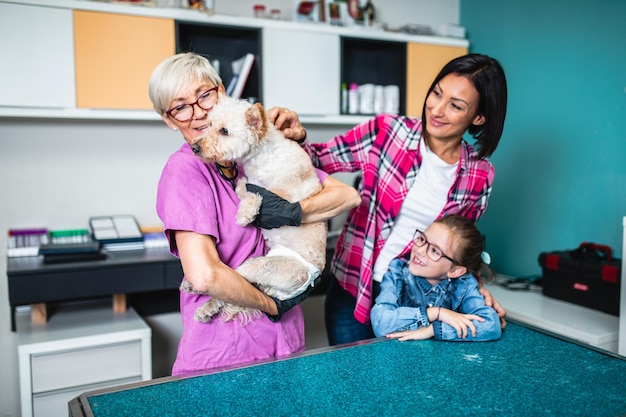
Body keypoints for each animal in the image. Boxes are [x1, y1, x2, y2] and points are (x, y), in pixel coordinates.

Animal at [184, 96, 326, 324]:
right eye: (209, 125)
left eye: (224, 131)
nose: (194, 147)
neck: (262, 156)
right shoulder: (252, 181)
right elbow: (245, 186)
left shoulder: (286, 194)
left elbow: (258, 193)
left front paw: (245, 214)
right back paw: (201, 299)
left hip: (263, 267)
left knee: (233, 278)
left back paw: (204, 302)